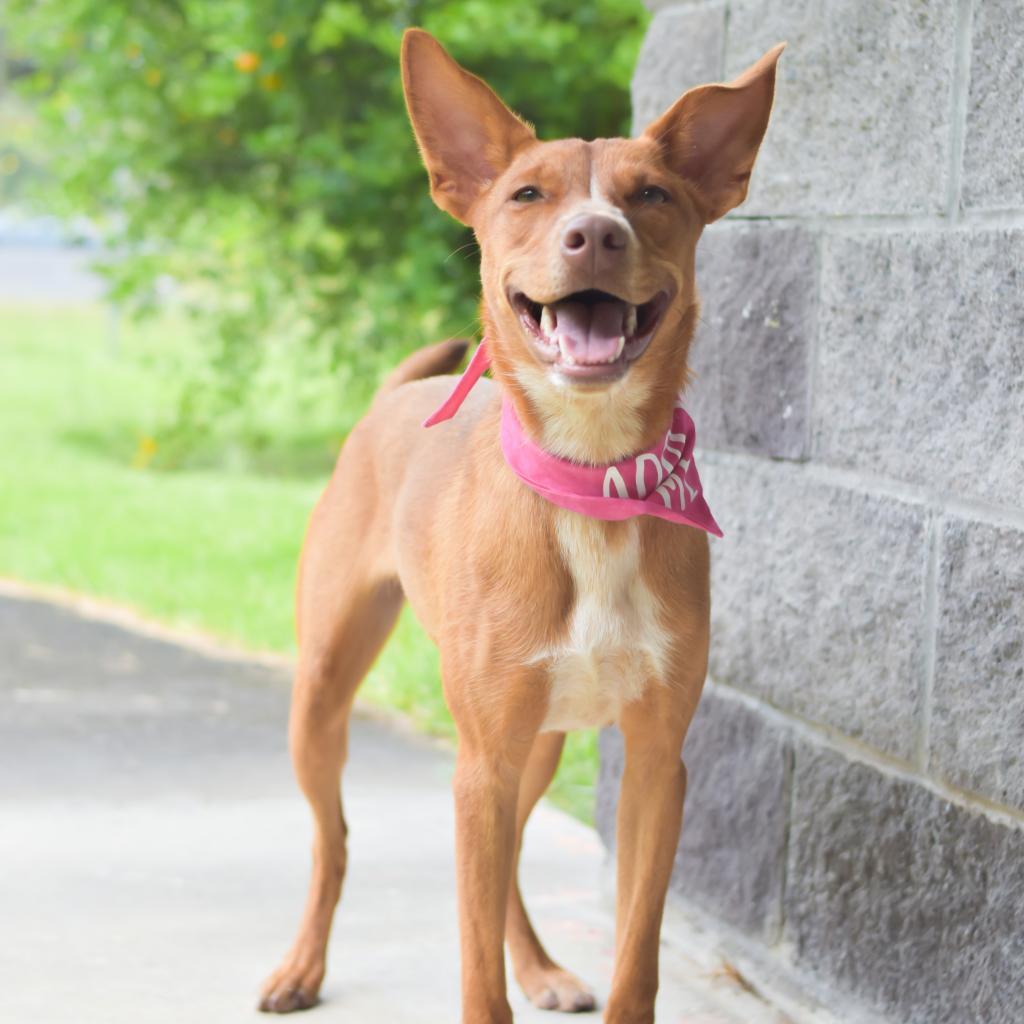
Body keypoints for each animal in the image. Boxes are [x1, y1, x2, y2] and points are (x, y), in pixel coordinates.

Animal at [260, 29, 778, 1024]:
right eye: (527, 195)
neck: (594, 481)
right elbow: (473, 975)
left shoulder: (655, 765)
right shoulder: (481, 764)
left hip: (538, 745)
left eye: (651, 196)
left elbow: (637, 956)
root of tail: (396, 397)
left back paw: (539, 966)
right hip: (326, 696)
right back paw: (300, 965)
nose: (596, 234)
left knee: (503, 874)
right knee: (331, 840)